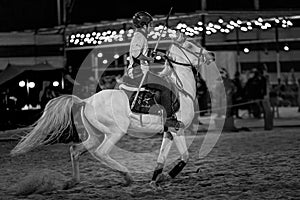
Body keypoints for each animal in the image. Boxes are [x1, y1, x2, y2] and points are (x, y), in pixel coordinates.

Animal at [10, 33, 214, 190]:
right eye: (190, 44)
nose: (211, 54)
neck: (181, 89)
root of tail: (85, 101)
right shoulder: (177, 129)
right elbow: (185, 157)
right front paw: (165, 177)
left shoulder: (168, 132)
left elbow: (161, 159)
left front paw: (156, 179)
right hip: (115, 132)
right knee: (101, 153)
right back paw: (126, 175)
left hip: (95, 135)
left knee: (75, 149)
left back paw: (74, 181)